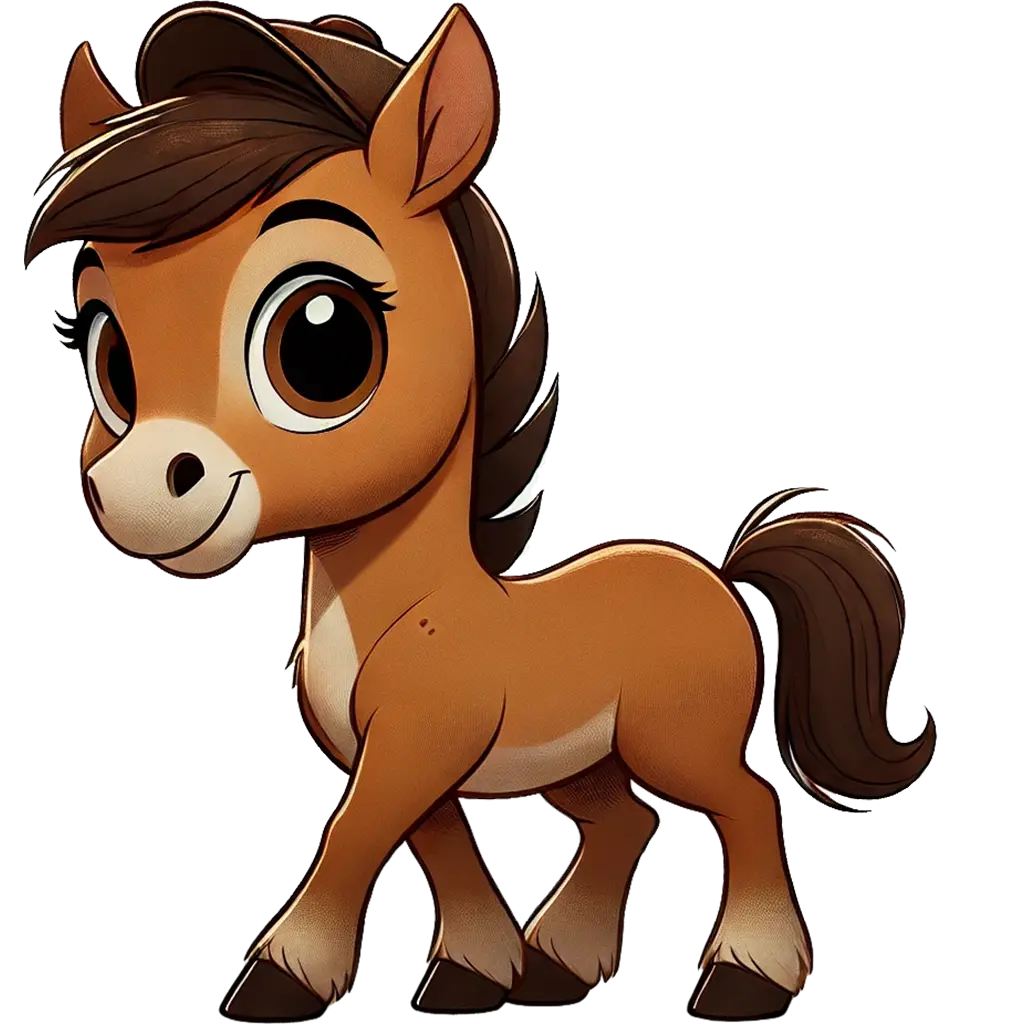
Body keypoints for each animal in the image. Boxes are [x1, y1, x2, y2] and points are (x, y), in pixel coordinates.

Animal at [26, 4, 936, 1020]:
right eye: (105, 351)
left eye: (324, 341)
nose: (141, 490)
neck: (408, 610)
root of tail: (718, 569)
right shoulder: (408, 759)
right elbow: (440, 846)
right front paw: (472, 969)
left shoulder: (416, 745)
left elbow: (354, 836)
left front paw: (282, 974)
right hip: (582, 764)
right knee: (629, 820)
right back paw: (564, 962)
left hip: (677, 740)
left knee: (747, 802)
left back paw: (745, 971)